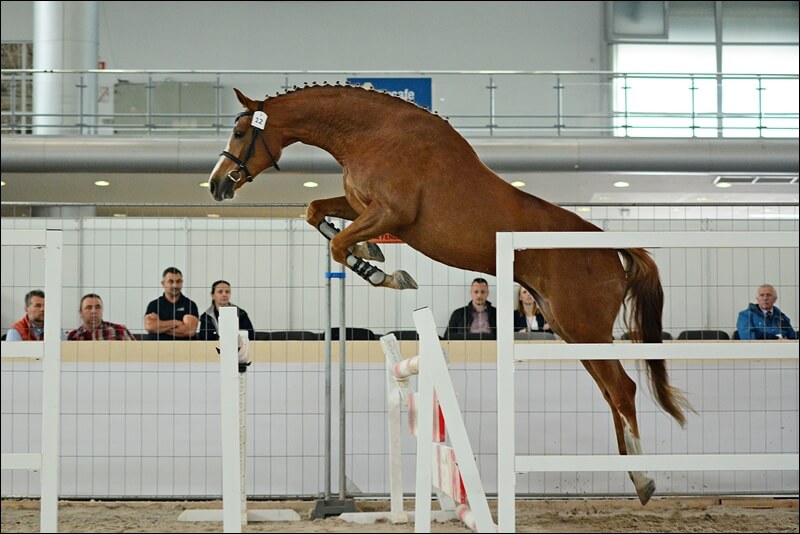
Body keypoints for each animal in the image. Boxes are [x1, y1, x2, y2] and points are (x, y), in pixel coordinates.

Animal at [209, 85, 692, 506]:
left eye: (240, 132)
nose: (217, 185)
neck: (371, 134)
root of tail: (611, 248)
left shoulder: (391, 213)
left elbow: (339, 243)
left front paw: (382, 271)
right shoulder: (363, 207)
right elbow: (317, 214)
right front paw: (372, 255)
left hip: (582, 325)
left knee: (623, 389)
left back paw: (645, 480)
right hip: (569, 330)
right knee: (612, 392)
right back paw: (632, 475)